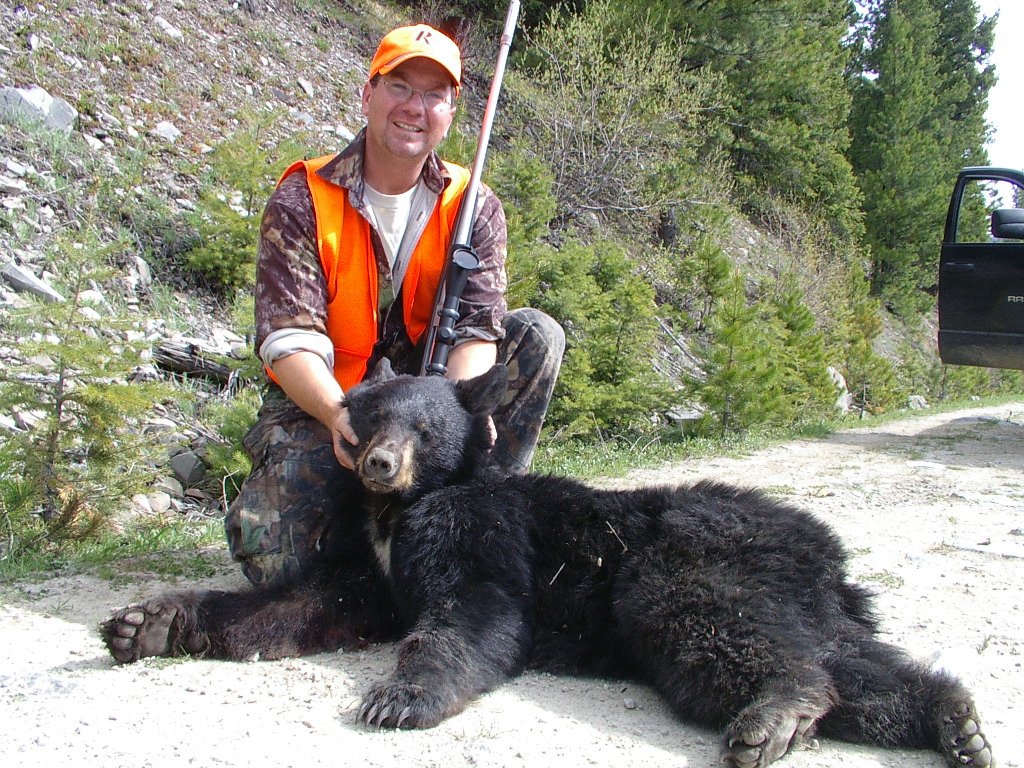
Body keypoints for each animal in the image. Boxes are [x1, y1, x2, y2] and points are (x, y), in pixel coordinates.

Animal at [102, 362, 993, 767]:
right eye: (369, 415)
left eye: (425, 429)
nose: (380, 466)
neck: (401, 513)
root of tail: (825, 551)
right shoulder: (371, 570)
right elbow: (306, 604)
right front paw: (149, 621)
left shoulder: (480, 531)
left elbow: (474, 610)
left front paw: (400, 695)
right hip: (809, 600)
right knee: (856, 665)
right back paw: (955, 722)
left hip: (689, 562)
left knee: (727, 630)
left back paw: (775, 713)